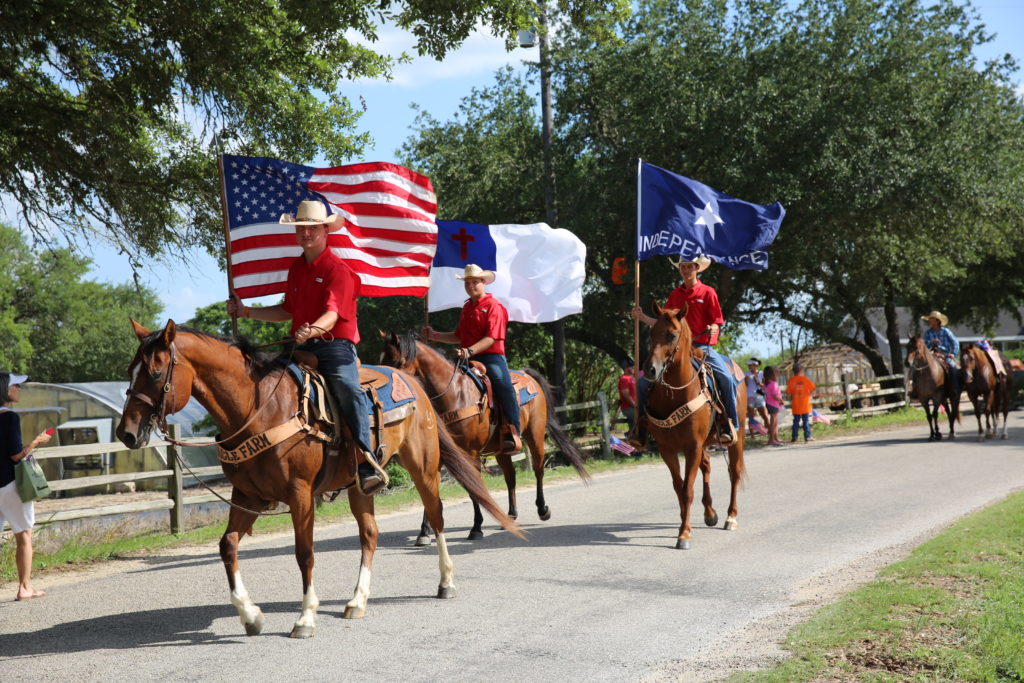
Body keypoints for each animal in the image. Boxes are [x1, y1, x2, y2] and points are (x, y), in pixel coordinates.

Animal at [116, 321, 524, 643]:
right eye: (130, 371)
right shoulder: (248, 496)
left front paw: (305, 618)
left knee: (436, 517)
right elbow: (227, 546)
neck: (257, 407)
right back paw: (357, 601)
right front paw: (251, 615)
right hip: (361, 486)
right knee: (370, 534)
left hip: (423, 467)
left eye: (155, 373)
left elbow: (305, 553)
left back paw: (446, 583)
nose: (126, 433)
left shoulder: (299, 494)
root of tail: (415, 384)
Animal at [378, 331, 589, 544]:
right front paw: (424, 532)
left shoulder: (470, 452)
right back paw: (510, 515)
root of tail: (526, 374)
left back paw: (542, 509)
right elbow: (429, 489)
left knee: (538, 470)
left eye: (396, 361)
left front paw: (476, 527)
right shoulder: (437, 454)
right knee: (511, 477)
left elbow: (473, 488)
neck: (456, 394)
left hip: (535, 435)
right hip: (502, 450)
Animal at [638, 305, 745, 548]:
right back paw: (710, 513)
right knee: (707, 466)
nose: (650, 370)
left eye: (672, 335)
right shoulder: (667, 449)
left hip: (738, 436)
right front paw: (683, 523)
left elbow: (687, 488)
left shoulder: (692, 446)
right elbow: (679, 487)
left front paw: (684, 534)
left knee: (734, 473)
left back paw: (731, 517)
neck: (675, 394)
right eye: (651, 333)